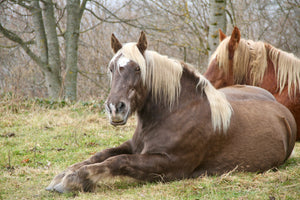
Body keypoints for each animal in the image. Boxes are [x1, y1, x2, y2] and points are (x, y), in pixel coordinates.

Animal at [45, 32, 296, 193]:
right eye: (111, 68)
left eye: (138, 68)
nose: (115, 108)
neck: (175, 112)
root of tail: (282, 112)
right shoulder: (133, 146)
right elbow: (100, 155)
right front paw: (63, 175)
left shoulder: (168, 164)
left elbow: (118, 161)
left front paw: (73, 181)